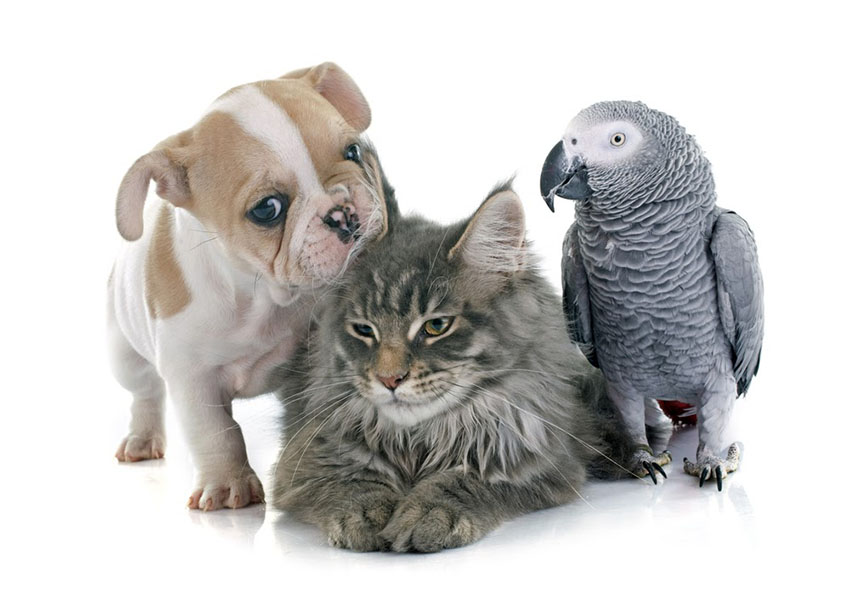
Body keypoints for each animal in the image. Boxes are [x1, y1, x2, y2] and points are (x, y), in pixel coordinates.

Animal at [107, 63, 394, 508]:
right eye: (267, 209)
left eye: (353, 152)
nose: (342, 212)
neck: (263, 296)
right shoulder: (194, 380)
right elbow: (215, 433)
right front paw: (229, 485)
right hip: (124, 356)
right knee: (145, 394)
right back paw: (142, 438)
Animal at [272, 184, 628, 552]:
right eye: (364, 330)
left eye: (437, 326)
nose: (389, 379)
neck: (420, 439)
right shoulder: (308, 456)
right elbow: (355, 481)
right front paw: (369, 516)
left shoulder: (535, 462)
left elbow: (463, 480)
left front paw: (428, 514)